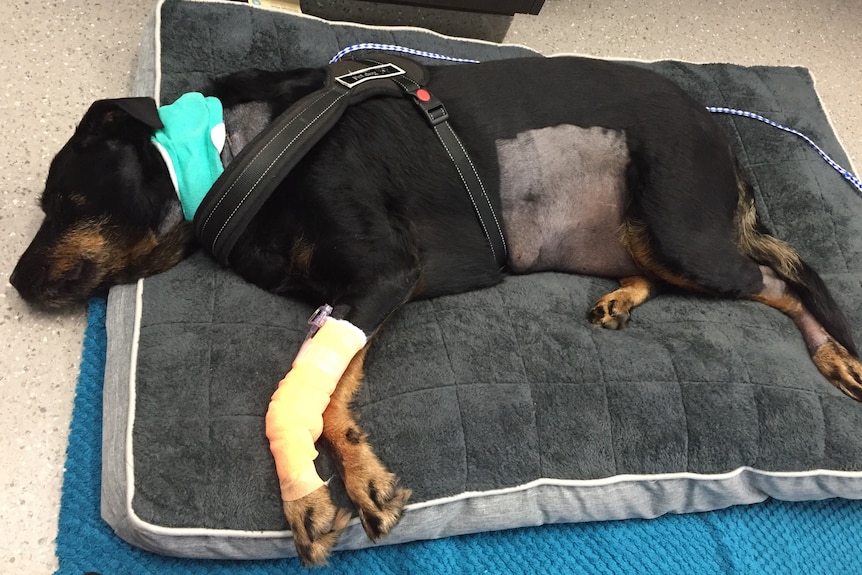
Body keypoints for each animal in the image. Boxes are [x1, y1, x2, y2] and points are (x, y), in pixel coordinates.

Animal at [11, 56, 862, 564]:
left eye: (64, 200)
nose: (15, 282)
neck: (229, 151)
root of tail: (720, 132)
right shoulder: (362, 291)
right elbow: (331, 394)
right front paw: (361, 479)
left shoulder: (384, 270)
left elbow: (292, 395)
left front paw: (307, 497)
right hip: (638, 234)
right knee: (686, 275)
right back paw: (622, 298)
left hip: (686, 230)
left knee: (784, 279)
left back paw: (834, 354)